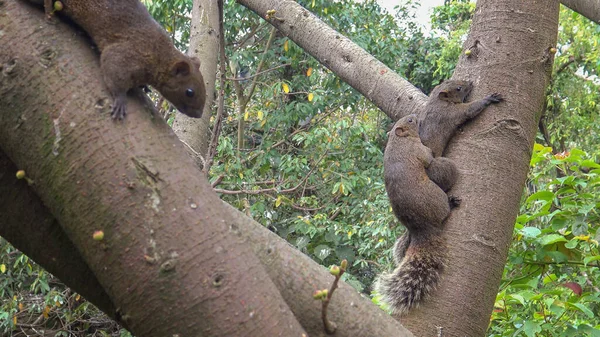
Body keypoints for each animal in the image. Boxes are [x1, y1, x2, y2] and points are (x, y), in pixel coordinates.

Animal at [38, 0, 206, 119]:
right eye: (189, 92)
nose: (198, 115)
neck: (160, 56)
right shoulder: (128, 53)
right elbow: (114, 69)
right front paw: (120, 100)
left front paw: (144, 86)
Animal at [376, 114, 460, 314]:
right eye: (410, 122)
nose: (414, 116)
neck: (398, 140)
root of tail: (422, 229)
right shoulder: (418, 150)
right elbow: (428, 156)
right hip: (437, 198)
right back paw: (451, 204)